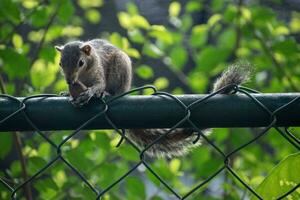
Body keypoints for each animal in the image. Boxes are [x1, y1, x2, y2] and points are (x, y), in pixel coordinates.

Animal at [54, 39, 251, 158]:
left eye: (80, 62)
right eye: (60, 63)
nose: (70, 81)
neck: (83, 77)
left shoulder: (98, 72)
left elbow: (98, 86)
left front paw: (91, 93)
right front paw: (67, 93)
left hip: (120, 68)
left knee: (116, 90)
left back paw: (109, 94)